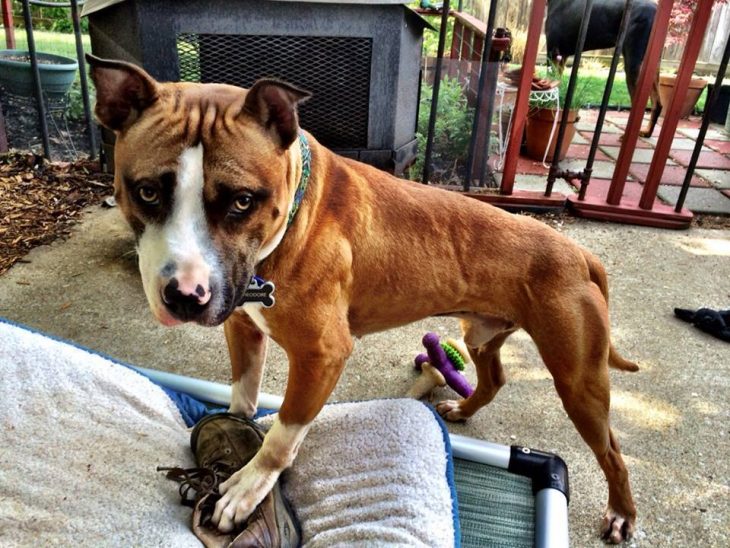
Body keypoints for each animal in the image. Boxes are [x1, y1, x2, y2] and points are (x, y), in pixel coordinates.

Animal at [88, 53, 636, 540]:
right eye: (148, 192)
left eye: (243, 201)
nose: (185, 295)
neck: (295, 216)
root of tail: (578, 252)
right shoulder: (242, 325)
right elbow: (243, 393)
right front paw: (235, 432)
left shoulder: (321, 355)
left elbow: (283, 434)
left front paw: (246, 488)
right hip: (481, 332)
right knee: (495, 377)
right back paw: (463, 410)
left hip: (579, 380)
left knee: (612, 451)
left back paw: (621, 514)